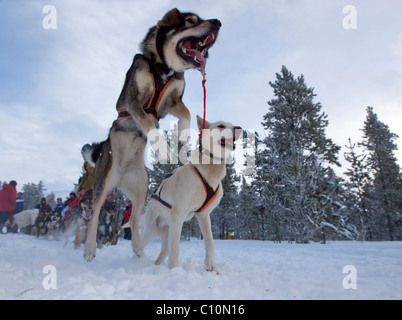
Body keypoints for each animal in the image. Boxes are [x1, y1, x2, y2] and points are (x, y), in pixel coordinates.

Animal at [81, 8, 220, 262]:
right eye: (190, 21)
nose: (217, 23)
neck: (162, 69)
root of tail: (120, 178)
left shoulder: (172, 102)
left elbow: (185, 112)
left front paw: (181, 136)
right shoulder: (132, 99)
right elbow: (146, 120)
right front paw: (163, 147)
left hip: (141, 190)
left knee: (135, 218)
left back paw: (137, 247)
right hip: (103, 183)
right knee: (95, 214)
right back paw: (89, 249)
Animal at [141, 116, 242, 274]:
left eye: (231, 124)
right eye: (220, 126)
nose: (239, 128)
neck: (210, 169)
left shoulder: (203, 214)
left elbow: (210, 242)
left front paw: (212, 267)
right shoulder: (178, 213)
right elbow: (175, 248)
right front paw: (174, 271)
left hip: (166, 234)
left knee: (162, 254)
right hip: (149, 231)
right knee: (139, 246)